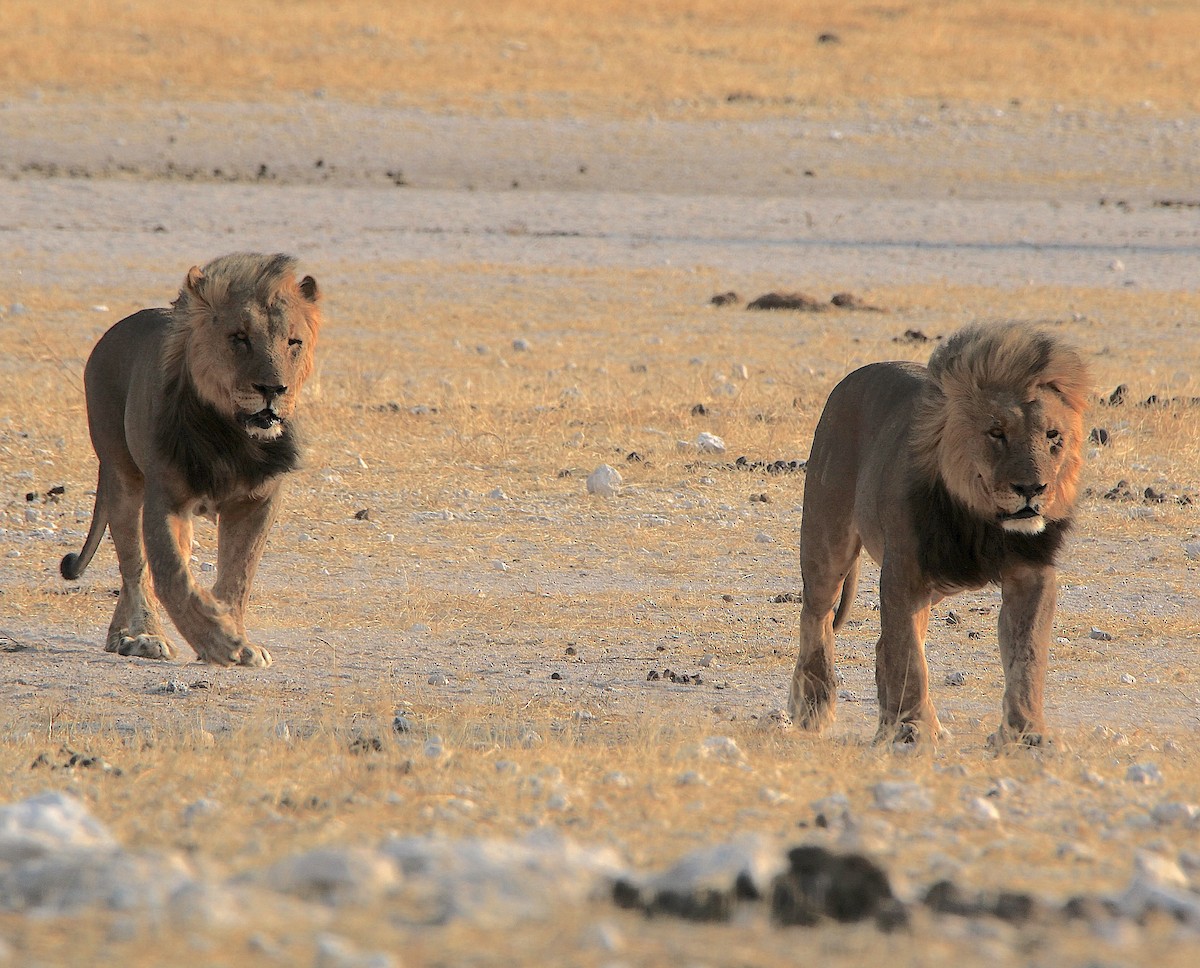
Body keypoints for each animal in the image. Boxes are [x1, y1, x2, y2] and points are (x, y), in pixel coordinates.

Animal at [60, 253, 322, 667]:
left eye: (293, 342)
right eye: (239, 338)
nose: (273, 389)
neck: (232, 437)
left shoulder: (259, 501)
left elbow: (238, 576)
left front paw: (237, 637)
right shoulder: (166, 497)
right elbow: (172, 575)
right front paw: (219, 641)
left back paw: (121, 636)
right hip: (122, 476)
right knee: (135, 568)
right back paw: (142, 636)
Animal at [788, 322, 1089, 745]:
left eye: (1052, 436)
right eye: (996, 432)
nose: (1032, 488)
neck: (980, 521)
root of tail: (852, 377)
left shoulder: (1032, 572)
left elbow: (1028, 654)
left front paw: (1027, 733)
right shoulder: (904, 572)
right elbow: (908, 655)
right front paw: (913, 728)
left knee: (882, 643)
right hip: (826, 539)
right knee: (816, 616)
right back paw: (813, 708)